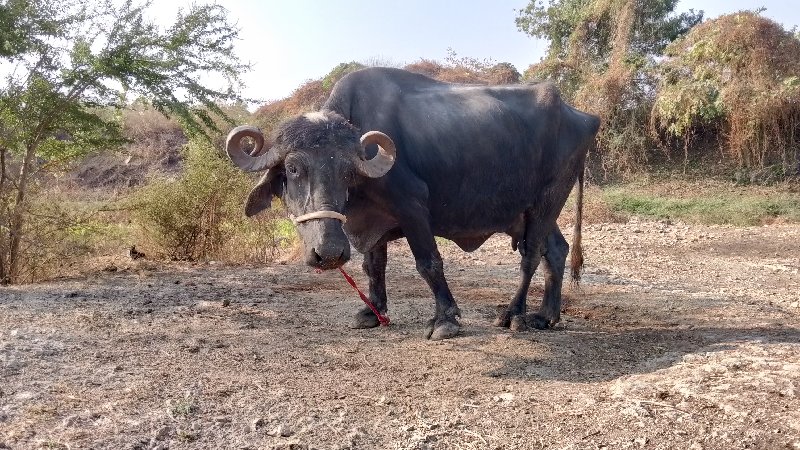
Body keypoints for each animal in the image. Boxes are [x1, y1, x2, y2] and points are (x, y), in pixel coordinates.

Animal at [227, 67, 600, 342]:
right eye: (293, 169)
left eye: (347, 171)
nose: (329, 253)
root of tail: (585, 117)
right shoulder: (369, 221)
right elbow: (373, 266)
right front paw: (373, 311)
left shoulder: (413, 207)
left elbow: (429, 263)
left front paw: (446, 320)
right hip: (529, 210)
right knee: (557, 250)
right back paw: (546, 315)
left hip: (548, 199)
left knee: (531, 255)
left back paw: (515, 314)